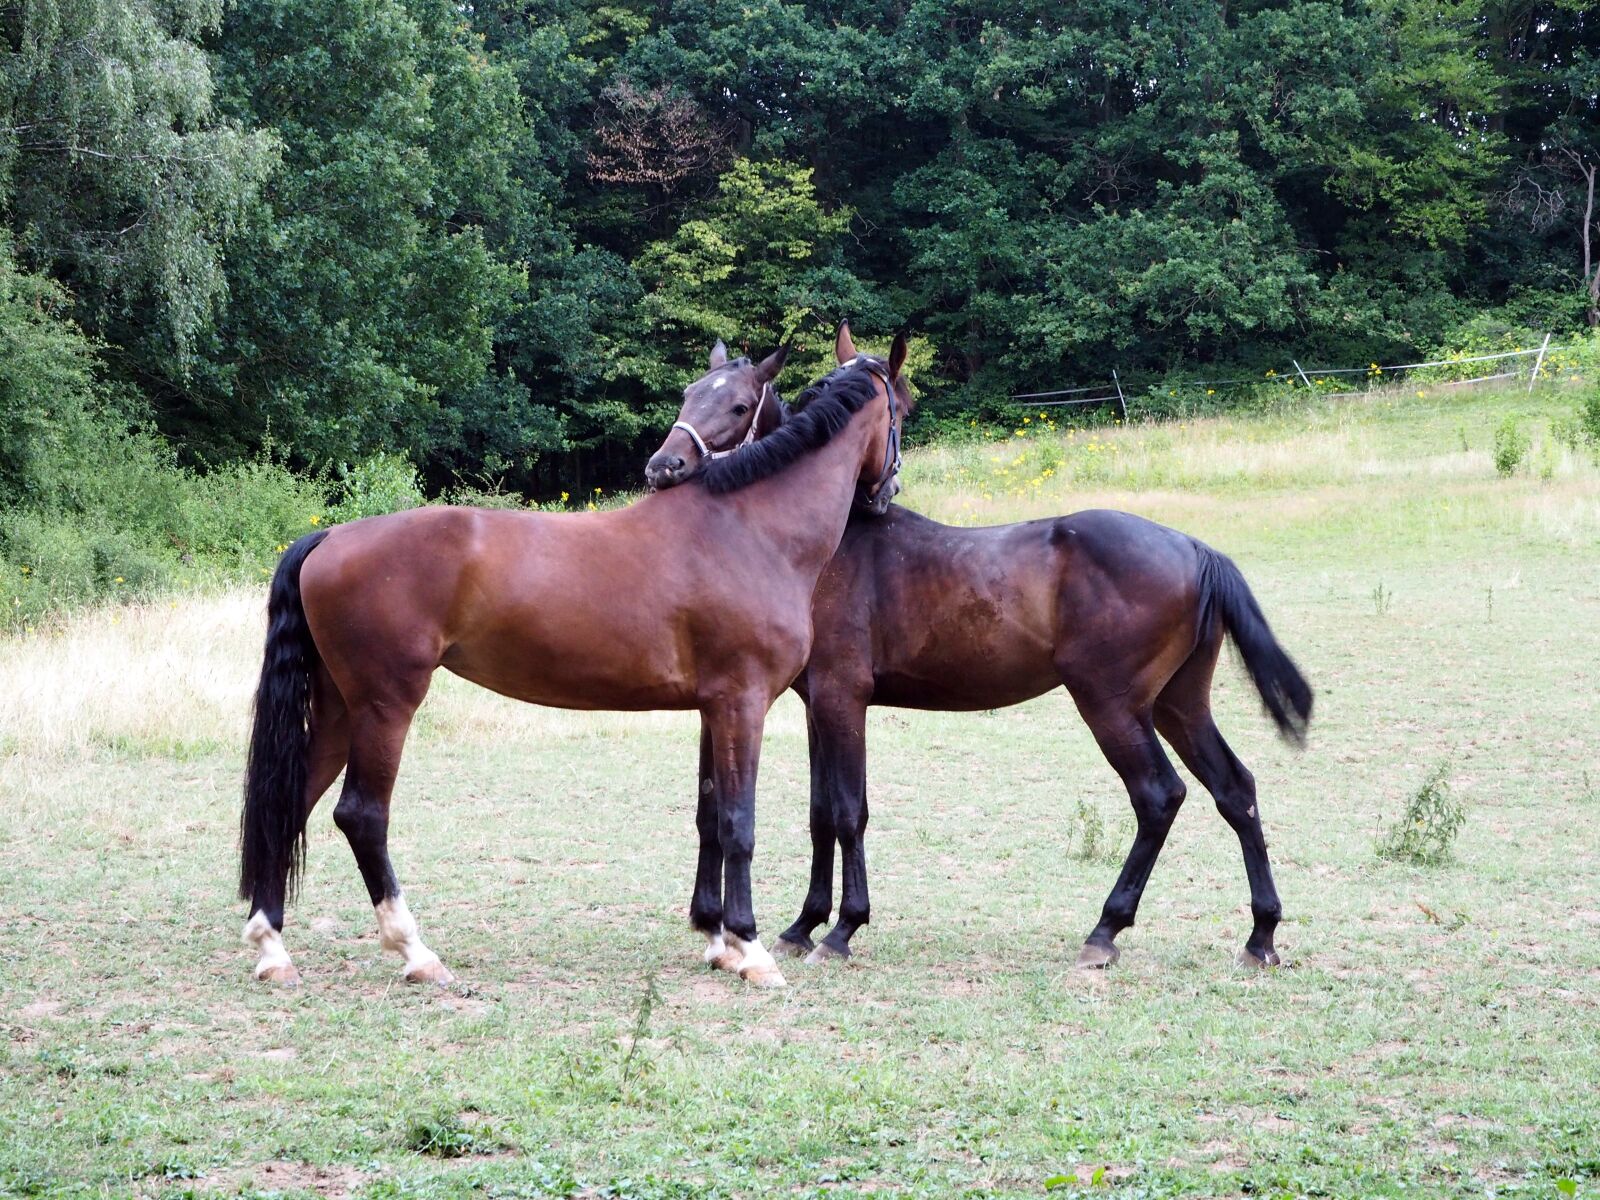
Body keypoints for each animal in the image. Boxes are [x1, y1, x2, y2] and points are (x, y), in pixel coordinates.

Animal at [240, 326, 915, 985]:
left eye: (738, 405)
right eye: (904, 409)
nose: (886, 494)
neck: (750, 529)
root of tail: (330, 536)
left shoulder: (713, 708)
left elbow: (710, 816)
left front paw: (719, 941)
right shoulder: (743, 704)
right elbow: (737, 825)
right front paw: (748, 949)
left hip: (338, 709)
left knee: (289, 802)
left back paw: (273, 947)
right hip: (385, 706)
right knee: (361, 815)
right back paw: (415, 951)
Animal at [652, 364, 1312, 966]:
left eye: (738, 405)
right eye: (690, 393)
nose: (662, 468)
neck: (828, 545)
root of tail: (1196, 548)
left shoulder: (844, 698)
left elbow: (847, 811)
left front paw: (842, 930)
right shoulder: (818, 705)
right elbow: (820, 813)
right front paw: (802, 925)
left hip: (1113, 707)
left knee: (1158, 796)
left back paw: (1105, 930)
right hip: (1179, 705)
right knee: (1235, 790)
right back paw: (1260, 936)